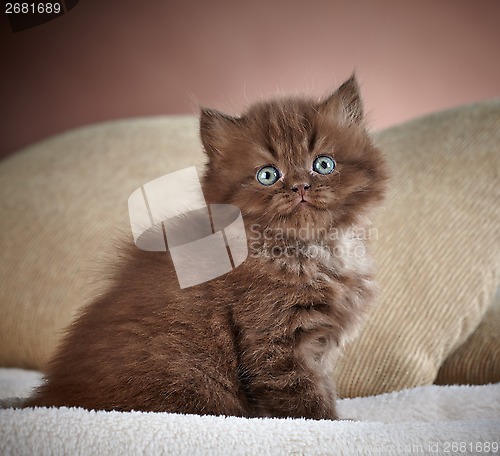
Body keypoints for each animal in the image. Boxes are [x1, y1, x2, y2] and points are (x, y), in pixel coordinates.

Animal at [25, 75, 386, 420]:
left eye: (323, 164)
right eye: (268, 175)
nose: (300, 186)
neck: (311, 250)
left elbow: (323, 388)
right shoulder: (274, 342)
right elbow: (307, 402)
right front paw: (339, 423)